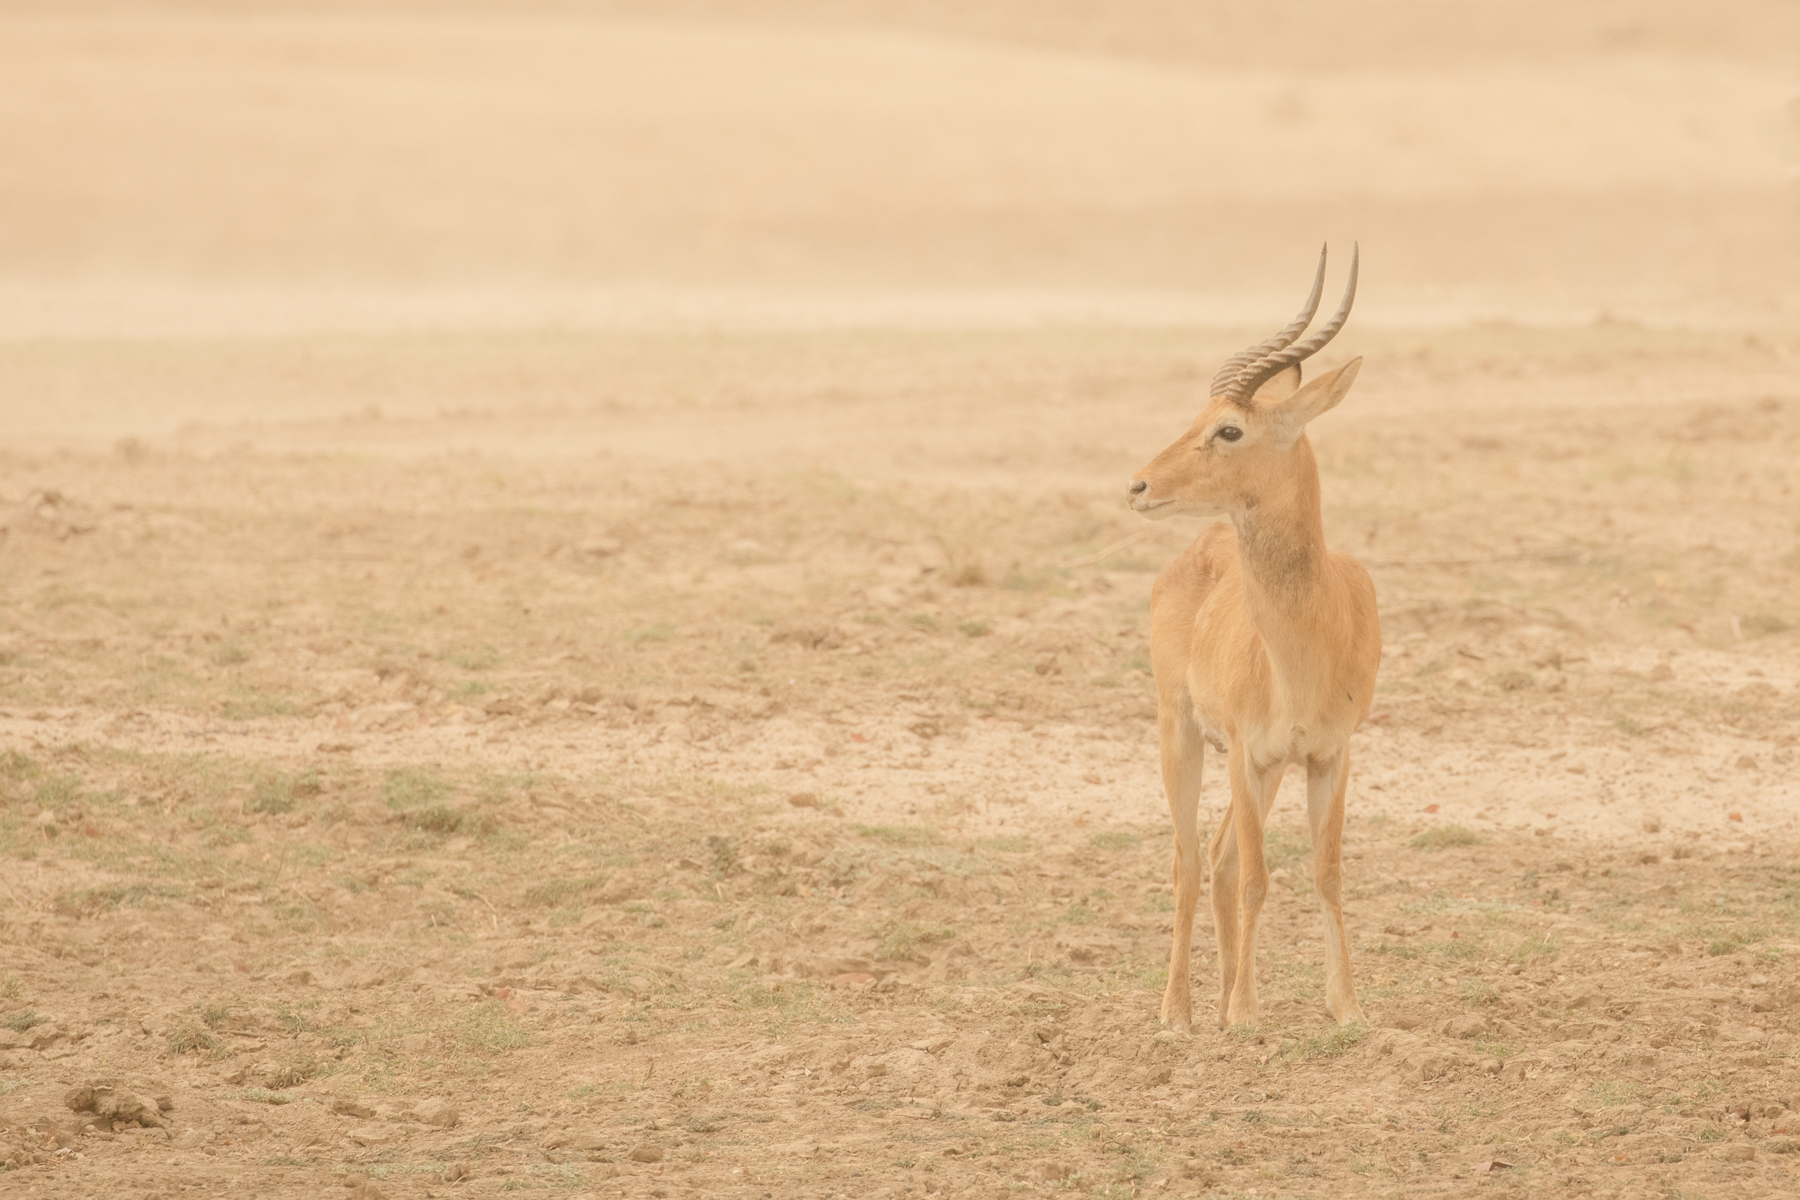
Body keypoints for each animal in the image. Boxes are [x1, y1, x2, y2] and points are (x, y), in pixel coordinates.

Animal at [1127, 245, 1379, 1031]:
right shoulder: (1247, 749)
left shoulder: (1329, 754)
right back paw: (1179, 1013)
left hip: (1258, 770)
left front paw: (1346, 1007)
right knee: (1189, 862)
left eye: (1229, 429)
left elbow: (1325, 873)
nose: (1138, 486)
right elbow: (1261, 878)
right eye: (1203, 417)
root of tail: (1200, 547)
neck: (1303, 646)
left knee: (1217, 859)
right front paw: (1242, 1013)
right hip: (1184, 735)